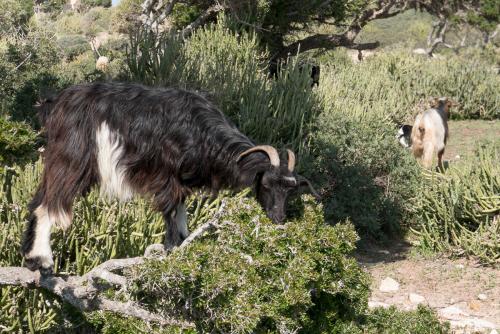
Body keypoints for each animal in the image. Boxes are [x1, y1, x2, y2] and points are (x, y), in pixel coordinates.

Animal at [21, 82, 318, 272]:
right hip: (72, 160)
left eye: (291, 190)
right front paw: (171, 249)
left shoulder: (181, 182)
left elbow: (181, 211)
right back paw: (44, 260)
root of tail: (55, 105)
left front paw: (185, 242)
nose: (278, 218)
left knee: (36, 201)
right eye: (266, 184)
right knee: (49, 204)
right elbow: (169, 212)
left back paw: (30, 259)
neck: (202, 135)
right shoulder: (166, 177)